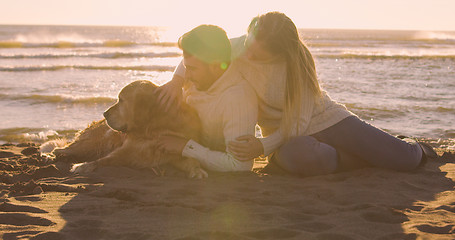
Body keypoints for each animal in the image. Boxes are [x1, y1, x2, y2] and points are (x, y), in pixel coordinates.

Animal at [43, 80, 208, 178]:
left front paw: (197, 170)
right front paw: (84, 166)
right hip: (94, 142)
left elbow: (191, 160)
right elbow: (104, 160)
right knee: (64, 148)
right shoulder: (126, 150)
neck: (154, 128)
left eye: (121, 100)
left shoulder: (174, 151)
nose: (104, 113)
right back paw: (52, 155)